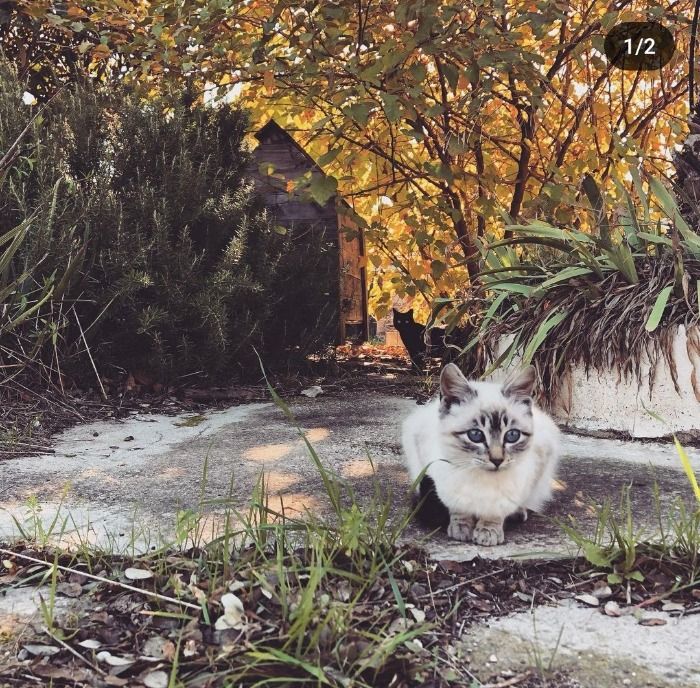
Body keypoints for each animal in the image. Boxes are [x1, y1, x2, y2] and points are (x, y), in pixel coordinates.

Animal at [402, 362, 560, 544]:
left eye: (512, 435)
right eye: (475, 435)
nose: (497, 460)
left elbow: (496, 511)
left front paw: (488, 531)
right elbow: (458, 508)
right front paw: (461, 528)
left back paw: (518, 513)